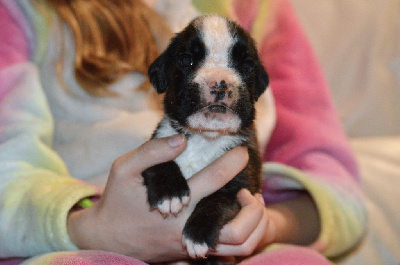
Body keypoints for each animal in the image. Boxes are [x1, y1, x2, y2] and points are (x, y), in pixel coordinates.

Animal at [142, 15, 270, 258]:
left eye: (247, 66)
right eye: (186, 60)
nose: (220, 82)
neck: (204, 138)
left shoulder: (243, 184)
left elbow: (218, 199)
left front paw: (198, 233)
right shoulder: (156, 143)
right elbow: (158, 161)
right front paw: (170, 193)